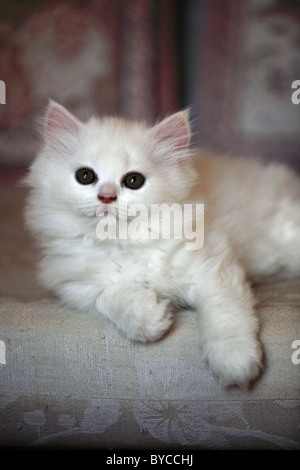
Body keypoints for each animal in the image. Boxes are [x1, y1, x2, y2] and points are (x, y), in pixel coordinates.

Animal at [24, 101, 300, 388]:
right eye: (86, 176)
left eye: (133, 180)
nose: (106, 197)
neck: (124, 240)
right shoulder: (74, 285)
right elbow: (114, 293)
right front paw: (151, 319)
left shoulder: (212, 272)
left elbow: (226, 318)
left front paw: (234, 362)